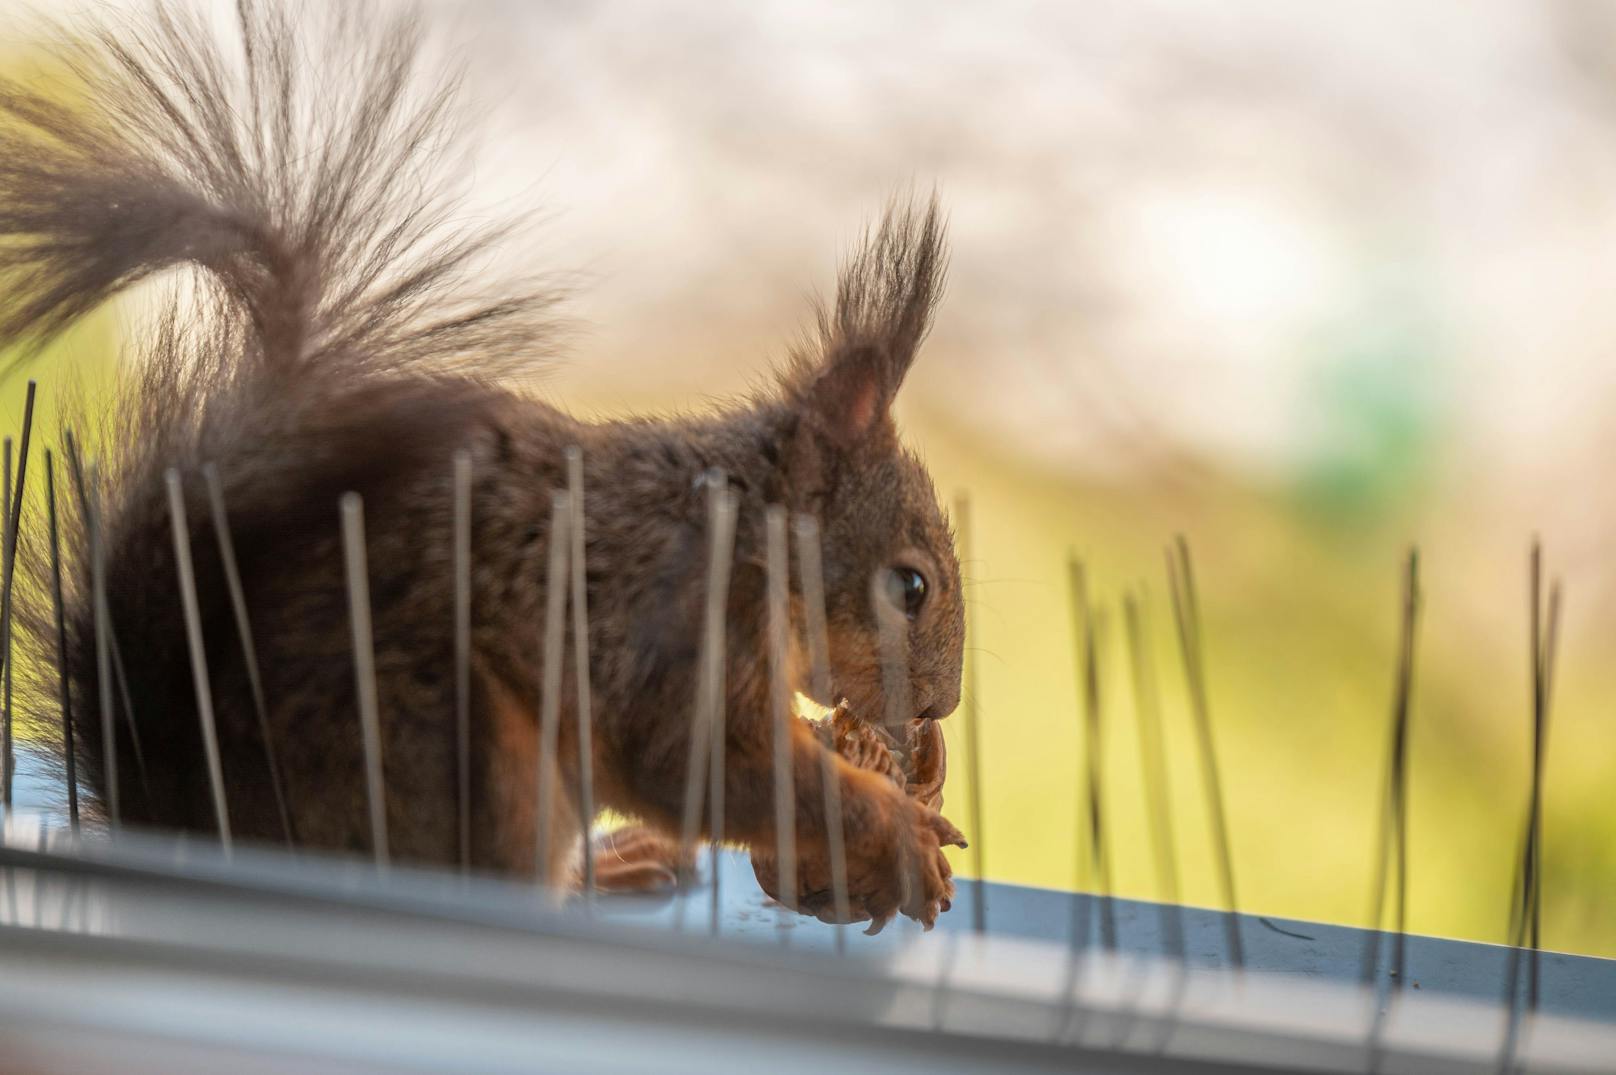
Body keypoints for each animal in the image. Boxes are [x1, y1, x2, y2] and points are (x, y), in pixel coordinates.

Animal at [0, 0, 956, 924]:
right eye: (910, 587)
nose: (938, 708)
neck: (751, 524)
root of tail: (193, 819)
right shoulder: (680, 629)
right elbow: (704, 767)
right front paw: (893, 828)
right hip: (465, 755)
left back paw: (617, 865)